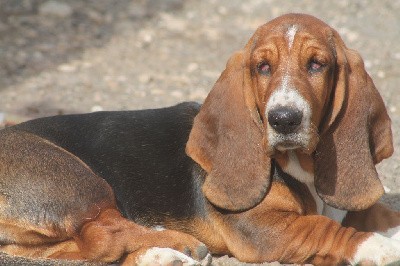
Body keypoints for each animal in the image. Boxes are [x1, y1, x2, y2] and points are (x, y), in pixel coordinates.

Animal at [0, 13, 400, 266]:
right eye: (262, 67)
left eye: (318, 64)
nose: (283, 119)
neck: (301, 166)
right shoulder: (260, 228)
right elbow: (328, 229)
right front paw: (380, 248)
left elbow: (381, 213)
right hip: (82, 183)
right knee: (105, 233)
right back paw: (174, 244)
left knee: (86, 245)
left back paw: (160, 255)